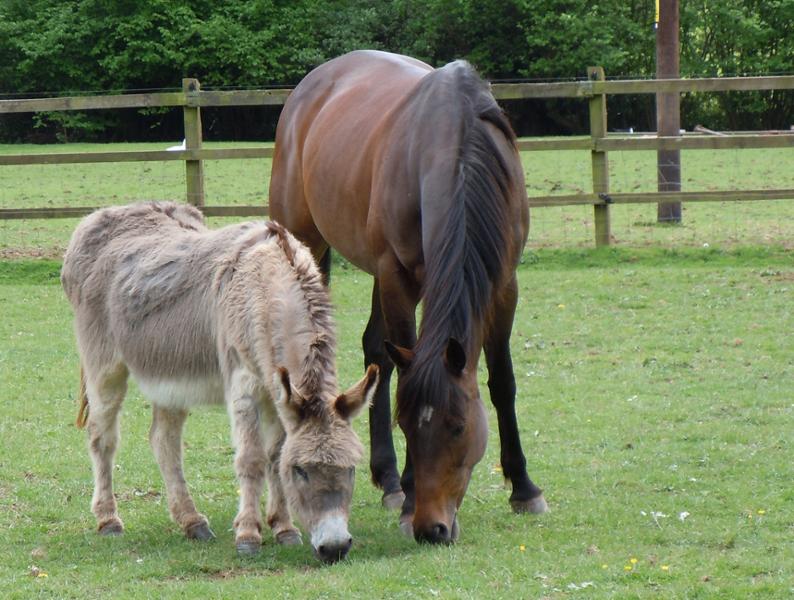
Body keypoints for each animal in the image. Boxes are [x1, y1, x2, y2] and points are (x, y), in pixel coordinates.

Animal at [61, 202, 378, 563]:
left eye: (351, 468)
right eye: (301, 470)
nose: (335, 548)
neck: (265, 287)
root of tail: (100, 215)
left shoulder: (277, 392)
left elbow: (274, 455)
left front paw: (283, 528)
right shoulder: (245, 384)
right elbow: (252, 458)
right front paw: (248, 535)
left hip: (168, 378)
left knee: (164, 441)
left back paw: (192, 522)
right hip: (104, 367)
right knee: (102, 437)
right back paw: (109, 520)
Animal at [269, 50, 547, 545]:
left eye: (458, 427)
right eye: (407, 426)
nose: (431, 528)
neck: (459, 149)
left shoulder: (503, 284)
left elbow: (502, 381)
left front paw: (524, 487)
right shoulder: (398, 277)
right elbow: (403, 371)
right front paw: (411, 496)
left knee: (373, 348)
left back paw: (388, 479)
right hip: (310, 246)